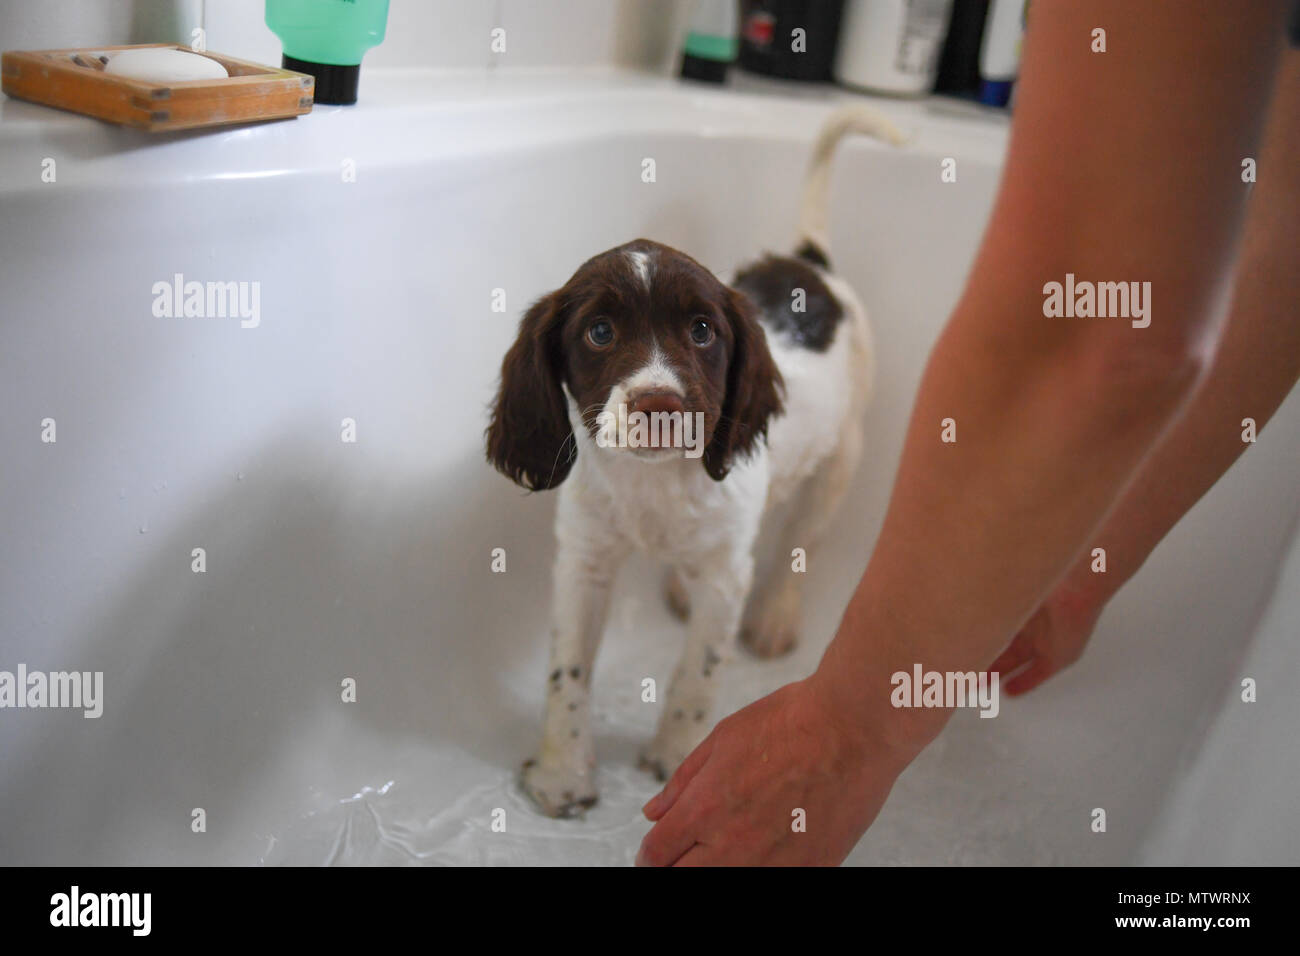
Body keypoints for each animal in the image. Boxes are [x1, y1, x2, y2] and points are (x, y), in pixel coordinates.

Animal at [488, 106, 904, 822]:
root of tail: (808, 260)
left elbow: (699, 671)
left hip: (844, 452)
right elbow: (566, 672)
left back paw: (774, 616)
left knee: (802, 538)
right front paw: (562, 773)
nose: (660, 404)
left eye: (703, 331)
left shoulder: (725, 576)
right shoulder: (585, 562)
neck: (653, 480)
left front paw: (678, 755)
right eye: (599, 332)